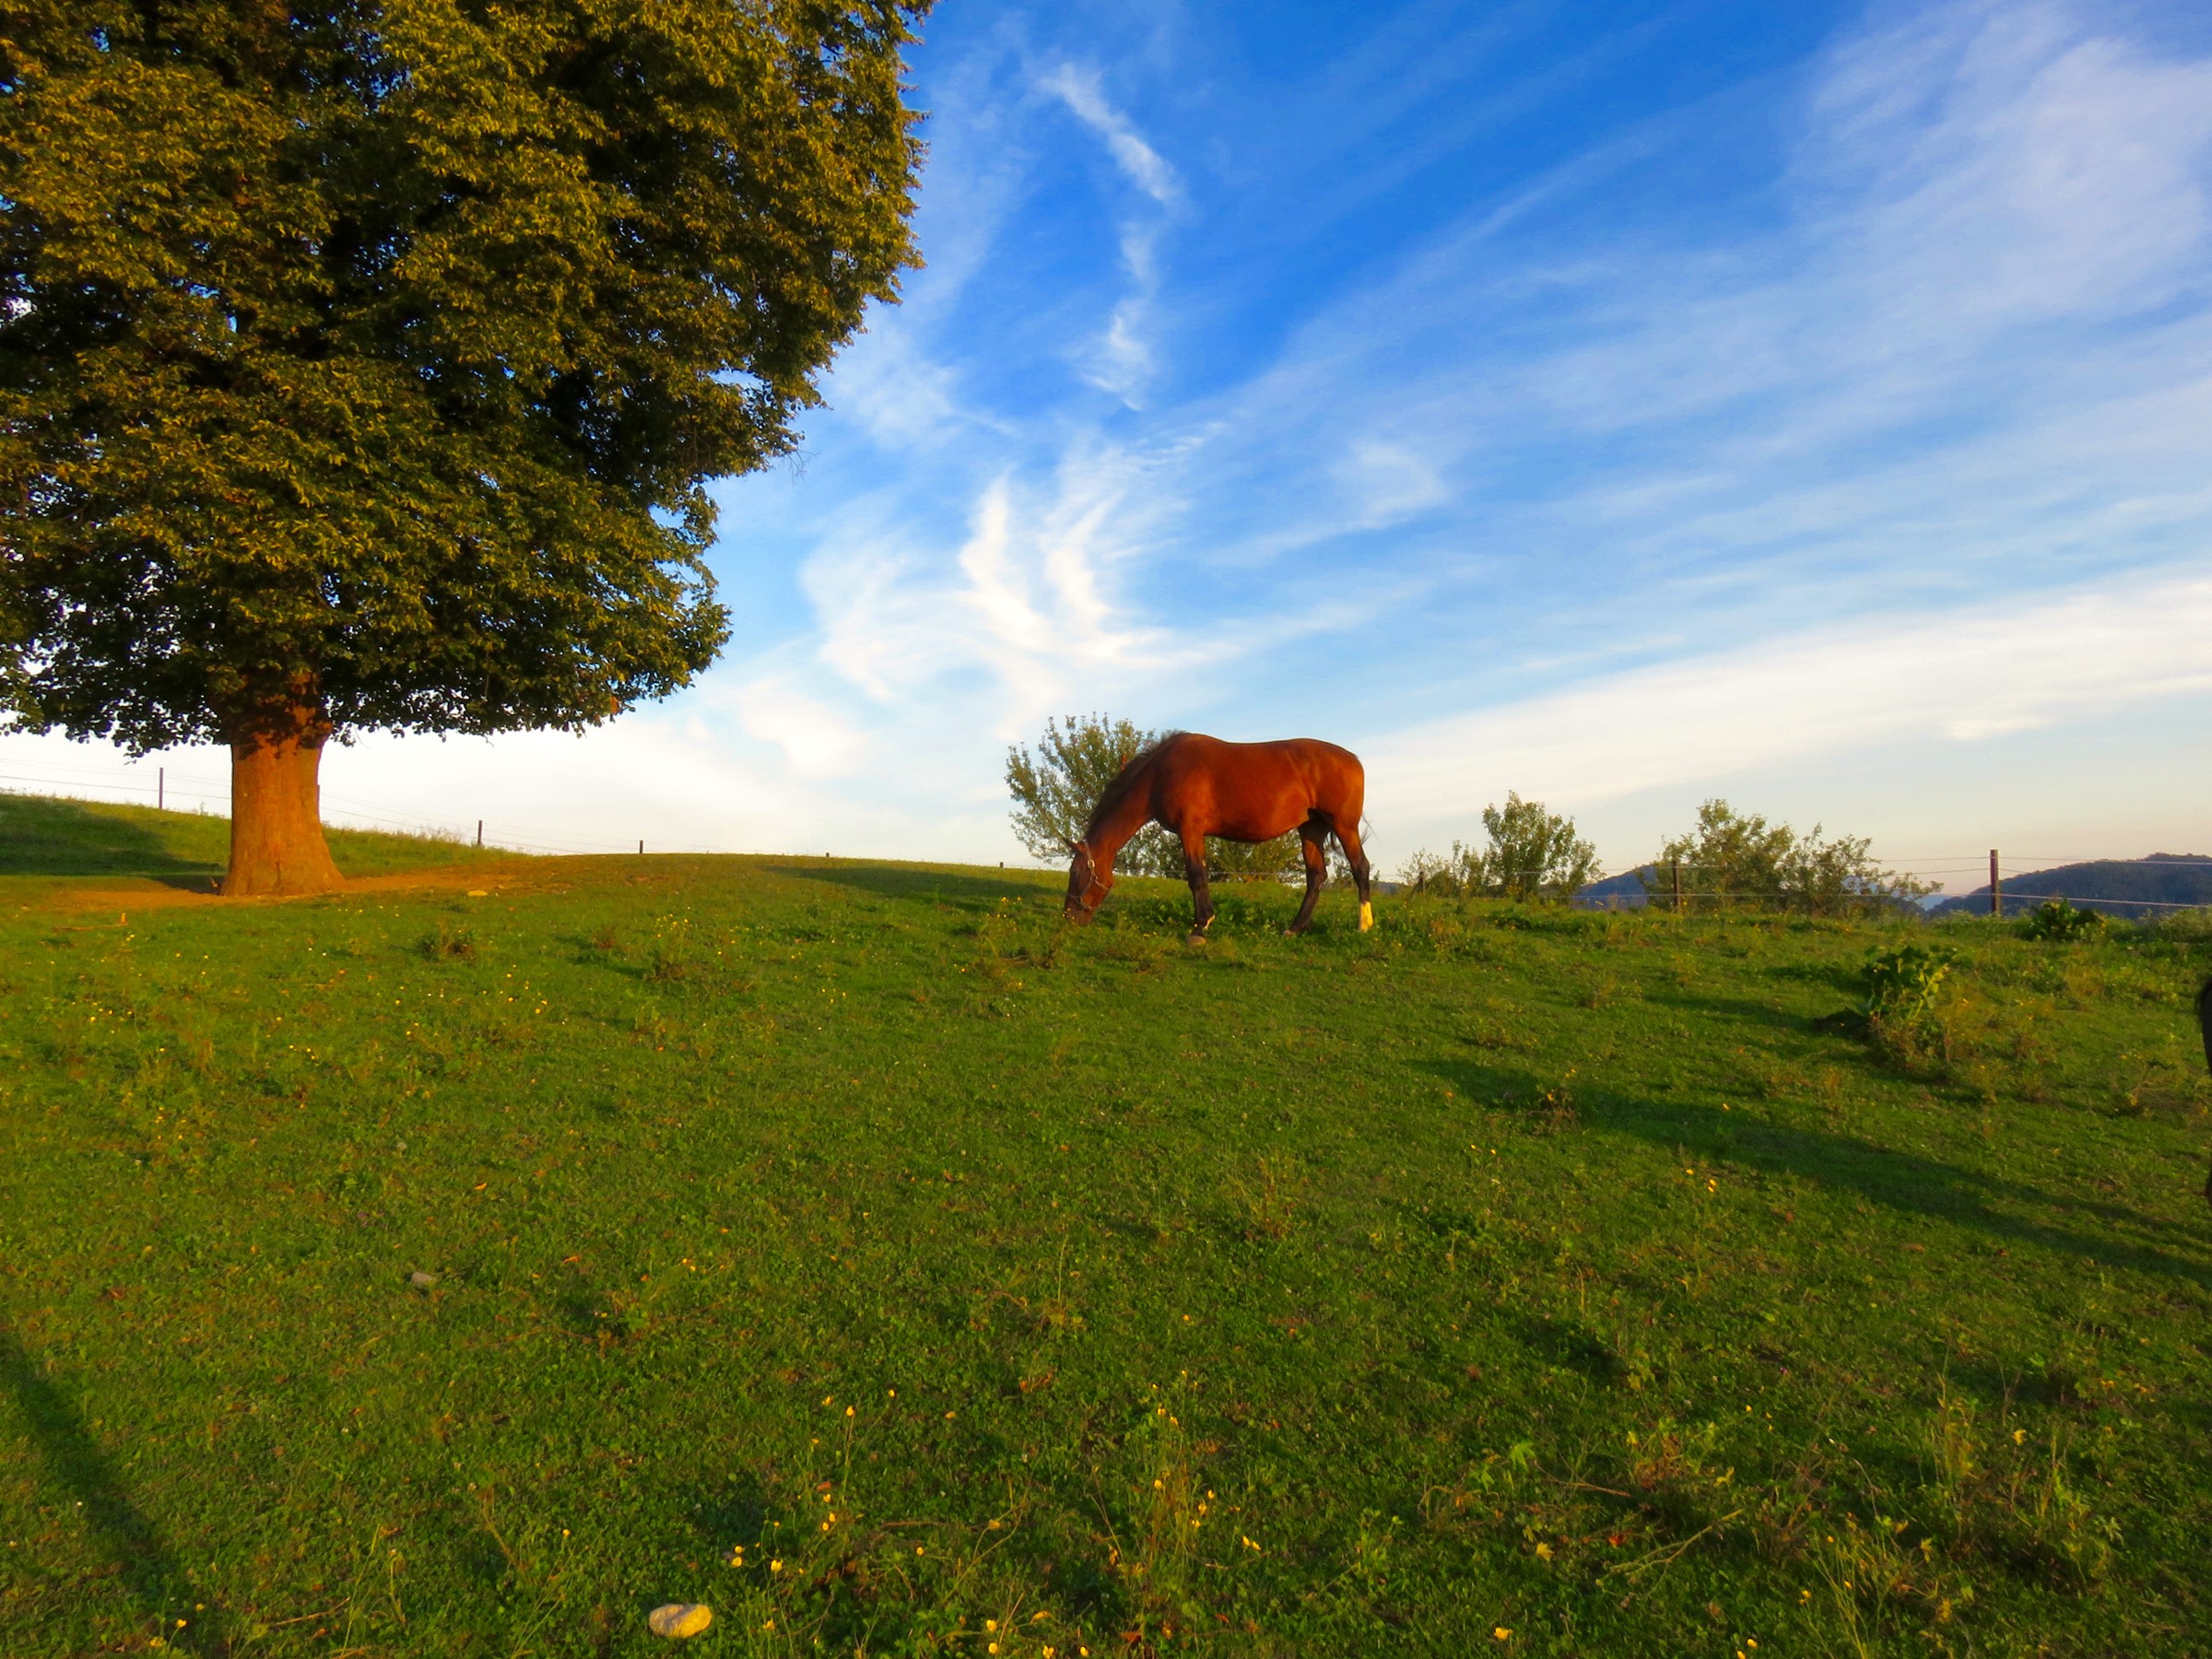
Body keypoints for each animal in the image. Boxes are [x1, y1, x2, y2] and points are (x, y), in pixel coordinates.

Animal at [1062, 733, 1374, 943]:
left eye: (1075, 873)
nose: (1068, 918)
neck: (1161, 772)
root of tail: (1354, 760)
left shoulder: (1190, 830)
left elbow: (1196, 875)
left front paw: (1200, 927)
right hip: (1311, 829)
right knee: (1316, 876)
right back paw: (1294, 928)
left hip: (1344, 827)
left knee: (1360, 868)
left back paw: (1364, 925)